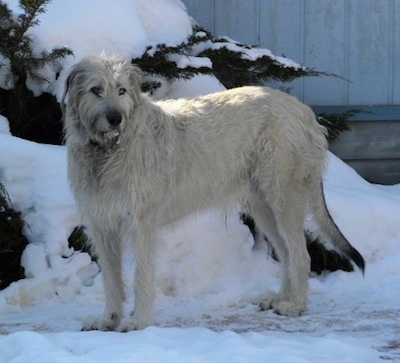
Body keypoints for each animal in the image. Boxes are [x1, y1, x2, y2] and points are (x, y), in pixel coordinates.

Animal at [62, 54, 366, 332]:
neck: (109, 150)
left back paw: (295, 305)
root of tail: (307, 113)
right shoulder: (103, 225)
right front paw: (108, 320)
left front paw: (139, 322)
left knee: (301, 255)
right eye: (96, 90)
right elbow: (111, 280)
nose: (115, 119)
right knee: (287, 253)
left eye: (122, 90)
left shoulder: (142, 224)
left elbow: (142, 275)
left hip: (285, 198)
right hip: (263, 207)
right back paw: (281, 298)